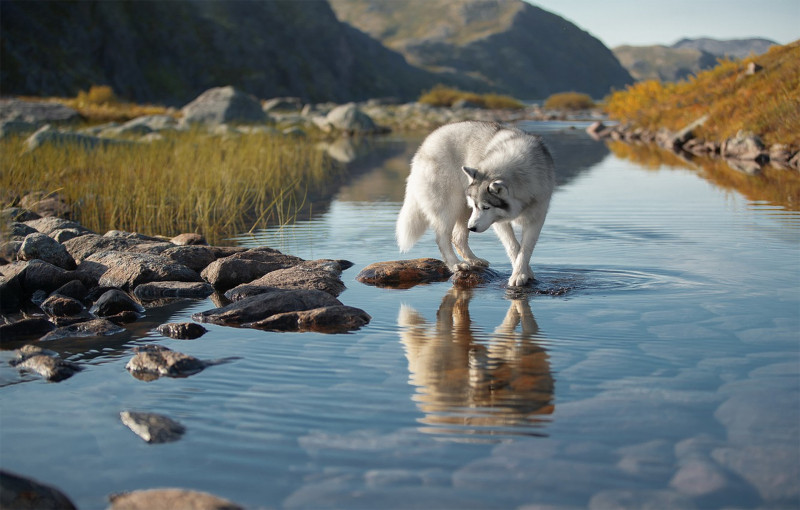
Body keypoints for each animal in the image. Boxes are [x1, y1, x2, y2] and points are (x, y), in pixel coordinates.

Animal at [396, 120, 556, 286]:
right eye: (477, 206)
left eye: (486, 207)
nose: (472, 228)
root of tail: (426, 143)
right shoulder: (499, 222)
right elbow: (513, 246)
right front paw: (521, 274)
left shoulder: (536, 218)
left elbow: (525, 249)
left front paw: (522, 273)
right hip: (451, 207)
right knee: (442, 238)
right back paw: (456, 264)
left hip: (464, 211)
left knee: (457, 237)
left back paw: (474, 260)